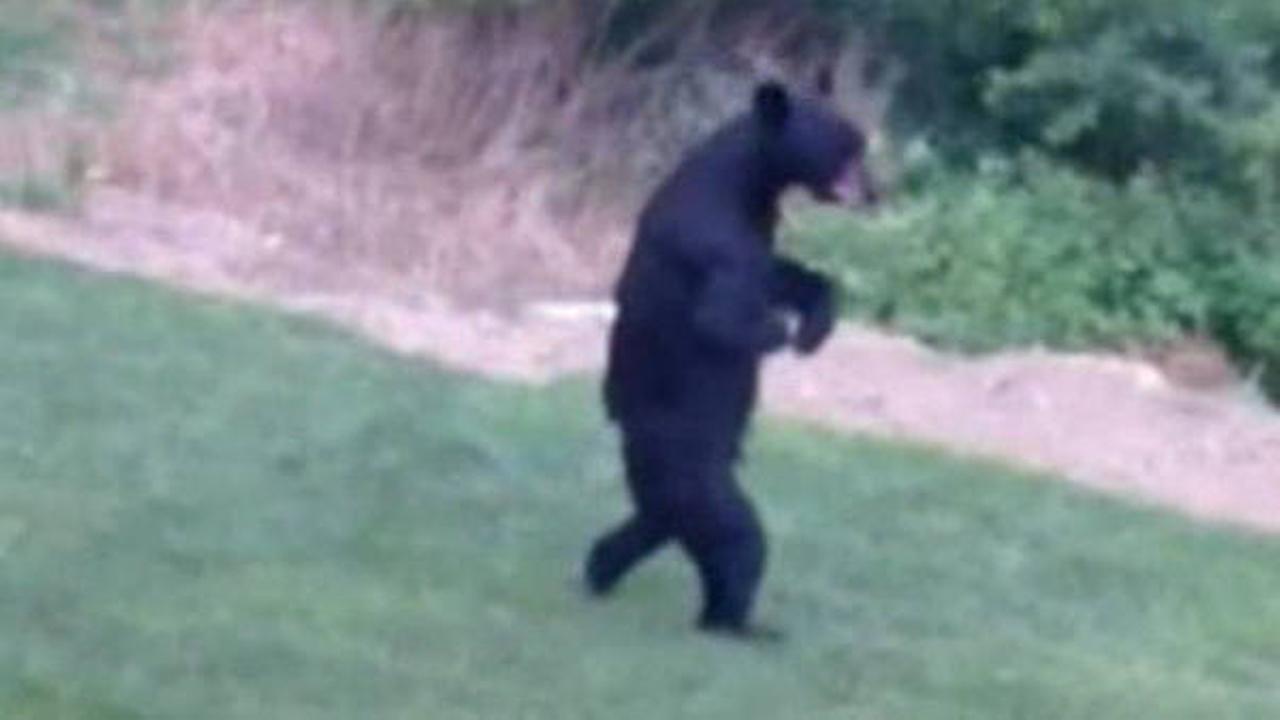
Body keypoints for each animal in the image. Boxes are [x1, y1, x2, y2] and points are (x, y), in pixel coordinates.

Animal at [584, 76, 878, 639]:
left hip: (667, 485)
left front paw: (816, 322)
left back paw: (598, 570)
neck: (747, 179)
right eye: (849, 149)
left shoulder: (761, 227)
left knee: (654, 525)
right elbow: (720, 318)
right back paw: (736, 623)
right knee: (736, 535)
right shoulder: (718, 237)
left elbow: (784, 271)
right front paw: (785, 333)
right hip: (690, 464)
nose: (876, 190)